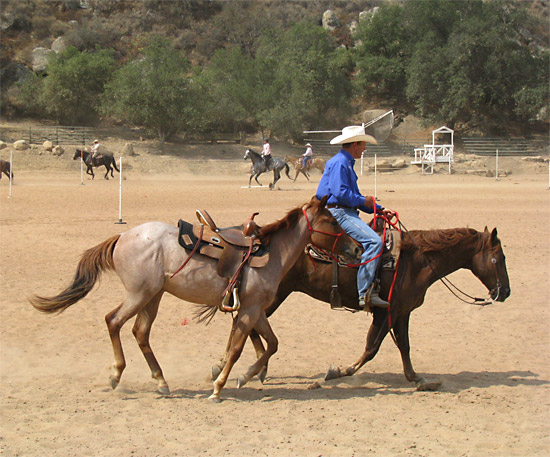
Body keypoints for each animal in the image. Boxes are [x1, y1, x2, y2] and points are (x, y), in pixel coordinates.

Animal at [29, 196, 362, 400]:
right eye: (333, 222)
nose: (357, 248)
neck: (272, 254)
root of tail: (122, 237)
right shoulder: (249, 310)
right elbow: (238, 349)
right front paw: (219, 387)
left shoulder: (256, 310)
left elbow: (272, 344)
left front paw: (246, 376)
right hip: (139, 294)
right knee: (113, 321)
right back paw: (116, 375)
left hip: (153, 297)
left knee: (140, 332)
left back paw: (161, 380)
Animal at [215, 224, 512, 388]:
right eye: (498, 259)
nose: (506, 292)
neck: (417, 261)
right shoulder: (385, 312)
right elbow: (371, 348)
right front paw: (338, 372)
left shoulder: (401, 312)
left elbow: (404, 346)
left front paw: (416, 378)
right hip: (273, 296)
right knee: (245, 323)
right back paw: (247, 369)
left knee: (245, 324)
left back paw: (240, 368)